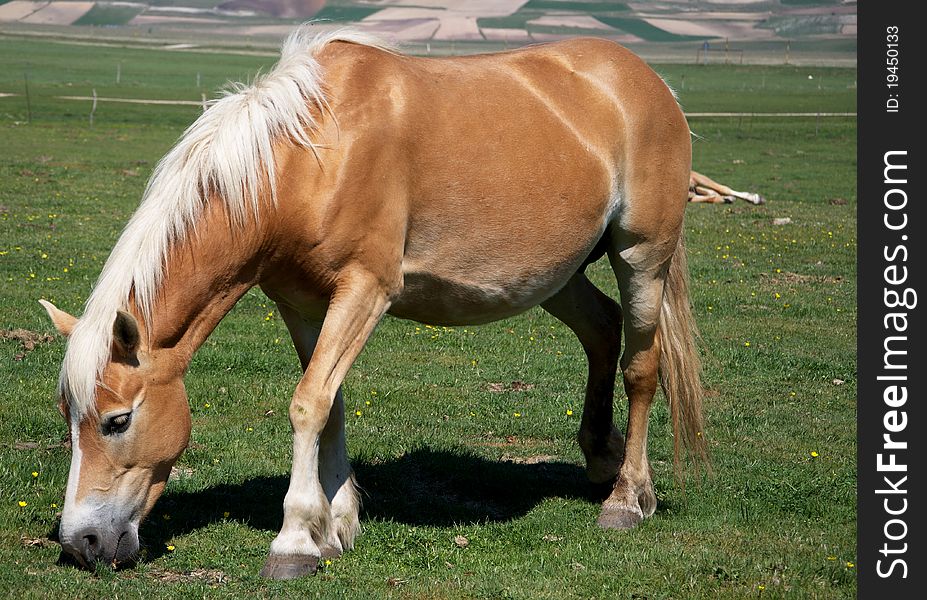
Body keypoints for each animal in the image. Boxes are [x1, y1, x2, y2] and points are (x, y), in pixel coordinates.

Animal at [40, 25, 712, 580]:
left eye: (117, 420)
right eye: (69, 416)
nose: (81, 543)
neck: (306, 158)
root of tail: (648, 81)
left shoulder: (365, 290)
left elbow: (308, 403)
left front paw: (294, 540)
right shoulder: (304, 305)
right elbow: (329, 404)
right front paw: (334, 527)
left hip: (641, 257)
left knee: (641, 367)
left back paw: (628, 498)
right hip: (556, 274)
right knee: (601, 328)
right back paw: (600, 458)